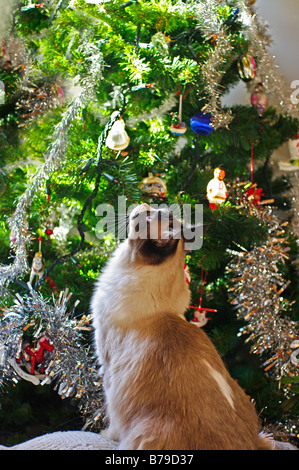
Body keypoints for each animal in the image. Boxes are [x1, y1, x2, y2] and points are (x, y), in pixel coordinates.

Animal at [91, 204, 274, 450]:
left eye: (147, 216)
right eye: (154, 209)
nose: (144, 205)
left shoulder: (107, 365)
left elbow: (111, 418)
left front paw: (104, 435)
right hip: (253, 414)